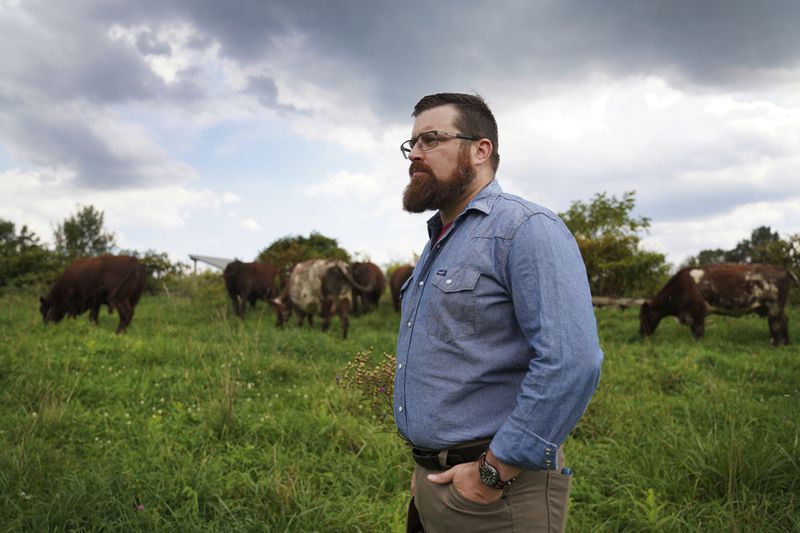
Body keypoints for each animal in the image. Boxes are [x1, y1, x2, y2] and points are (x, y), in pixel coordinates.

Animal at [636, 262, 800, 344]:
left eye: (642, 317)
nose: (641, 334)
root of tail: (782, 269)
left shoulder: (697, 314)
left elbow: (698, 333)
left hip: (774, 307)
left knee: (776, 325)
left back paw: (775, 344)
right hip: (778, 308)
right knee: (784, 321)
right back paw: (786, 343)